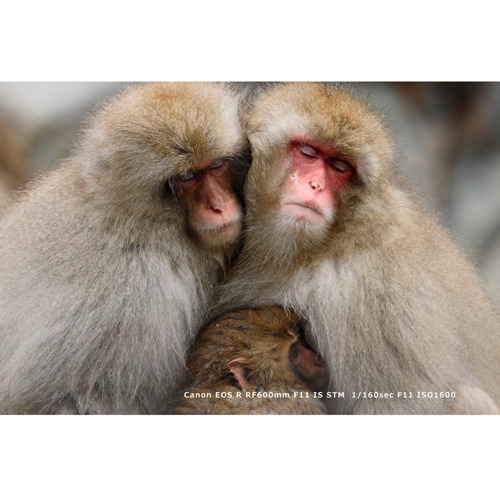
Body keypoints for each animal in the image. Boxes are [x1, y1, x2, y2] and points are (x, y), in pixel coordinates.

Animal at [0, 82, 250, 414]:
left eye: (216, 166)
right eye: (186, 177)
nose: (219, 206)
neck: (137, 221)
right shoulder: (128, 297)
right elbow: (68, 396)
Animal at [215, 82, 500, 415]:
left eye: (340, 167)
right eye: (308, 152)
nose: (316, 186)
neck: (316, 248)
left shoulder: (377, 298)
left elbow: (404, 403)